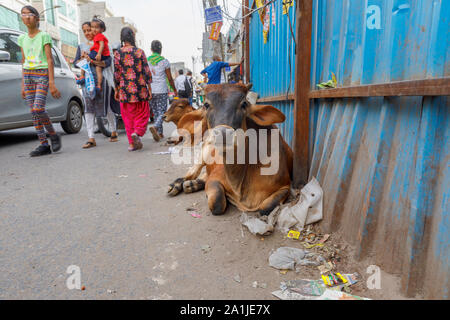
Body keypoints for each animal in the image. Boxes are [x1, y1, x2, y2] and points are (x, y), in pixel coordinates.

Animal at [167, 84, 294, 216]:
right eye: (206, 105)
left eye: (244, 104)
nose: (223, 133)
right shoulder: (214, 179)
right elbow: (217, 203)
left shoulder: (285, 186)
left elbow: (265, 208)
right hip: (204, 151)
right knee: (192, 172)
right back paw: (177, 185)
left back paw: (193, 184)